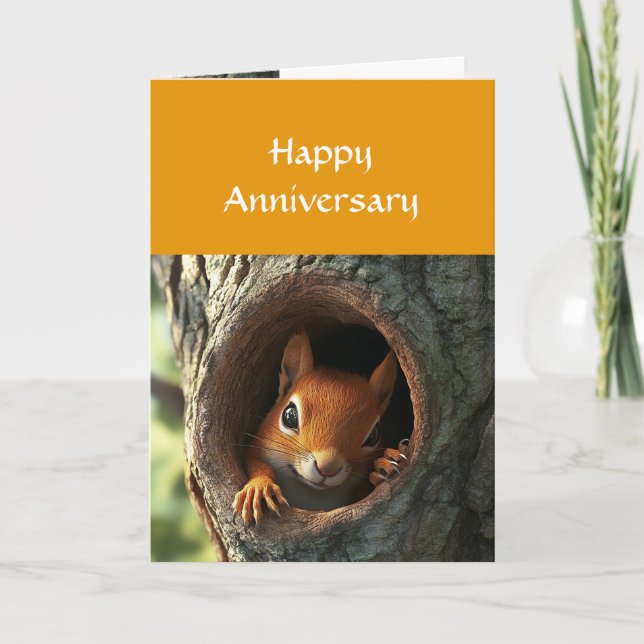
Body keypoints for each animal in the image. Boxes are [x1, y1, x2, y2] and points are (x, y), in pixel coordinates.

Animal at [233, 330, 409, 524]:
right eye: (289, 416)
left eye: (373, 436)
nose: (327, 467)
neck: (311, 493)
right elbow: (255, 463)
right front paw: (259, 487)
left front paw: (383, 463)